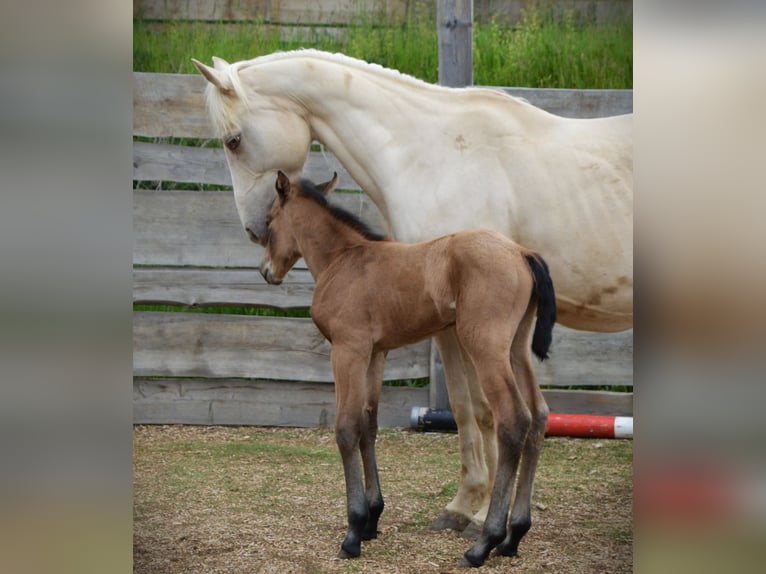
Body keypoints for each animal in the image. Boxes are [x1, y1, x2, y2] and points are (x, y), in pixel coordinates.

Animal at [261, 171, 556, 567]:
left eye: (268, 222)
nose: (266, 271)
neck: (344, 259)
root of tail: (521, 253)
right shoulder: (375, 353)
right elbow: (367, 426)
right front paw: (371, 521)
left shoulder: (347, 350)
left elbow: (345, 429)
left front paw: (352, 532)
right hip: (516, 348)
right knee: (539, 416)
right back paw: (514, 537)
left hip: (485, 347)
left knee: (514, 419)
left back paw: (484, 543)